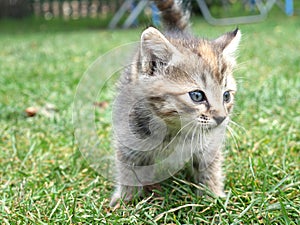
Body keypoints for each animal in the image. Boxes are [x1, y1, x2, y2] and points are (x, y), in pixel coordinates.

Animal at [110, 0, 241, 207]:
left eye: (226, 96)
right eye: (197, 96)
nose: (222, 118)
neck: (174, 131)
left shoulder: (209, 144)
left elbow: (210, 168)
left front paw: (212, 197)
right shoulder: (128, 139)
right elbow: (127, 170)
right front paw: (126, 201)